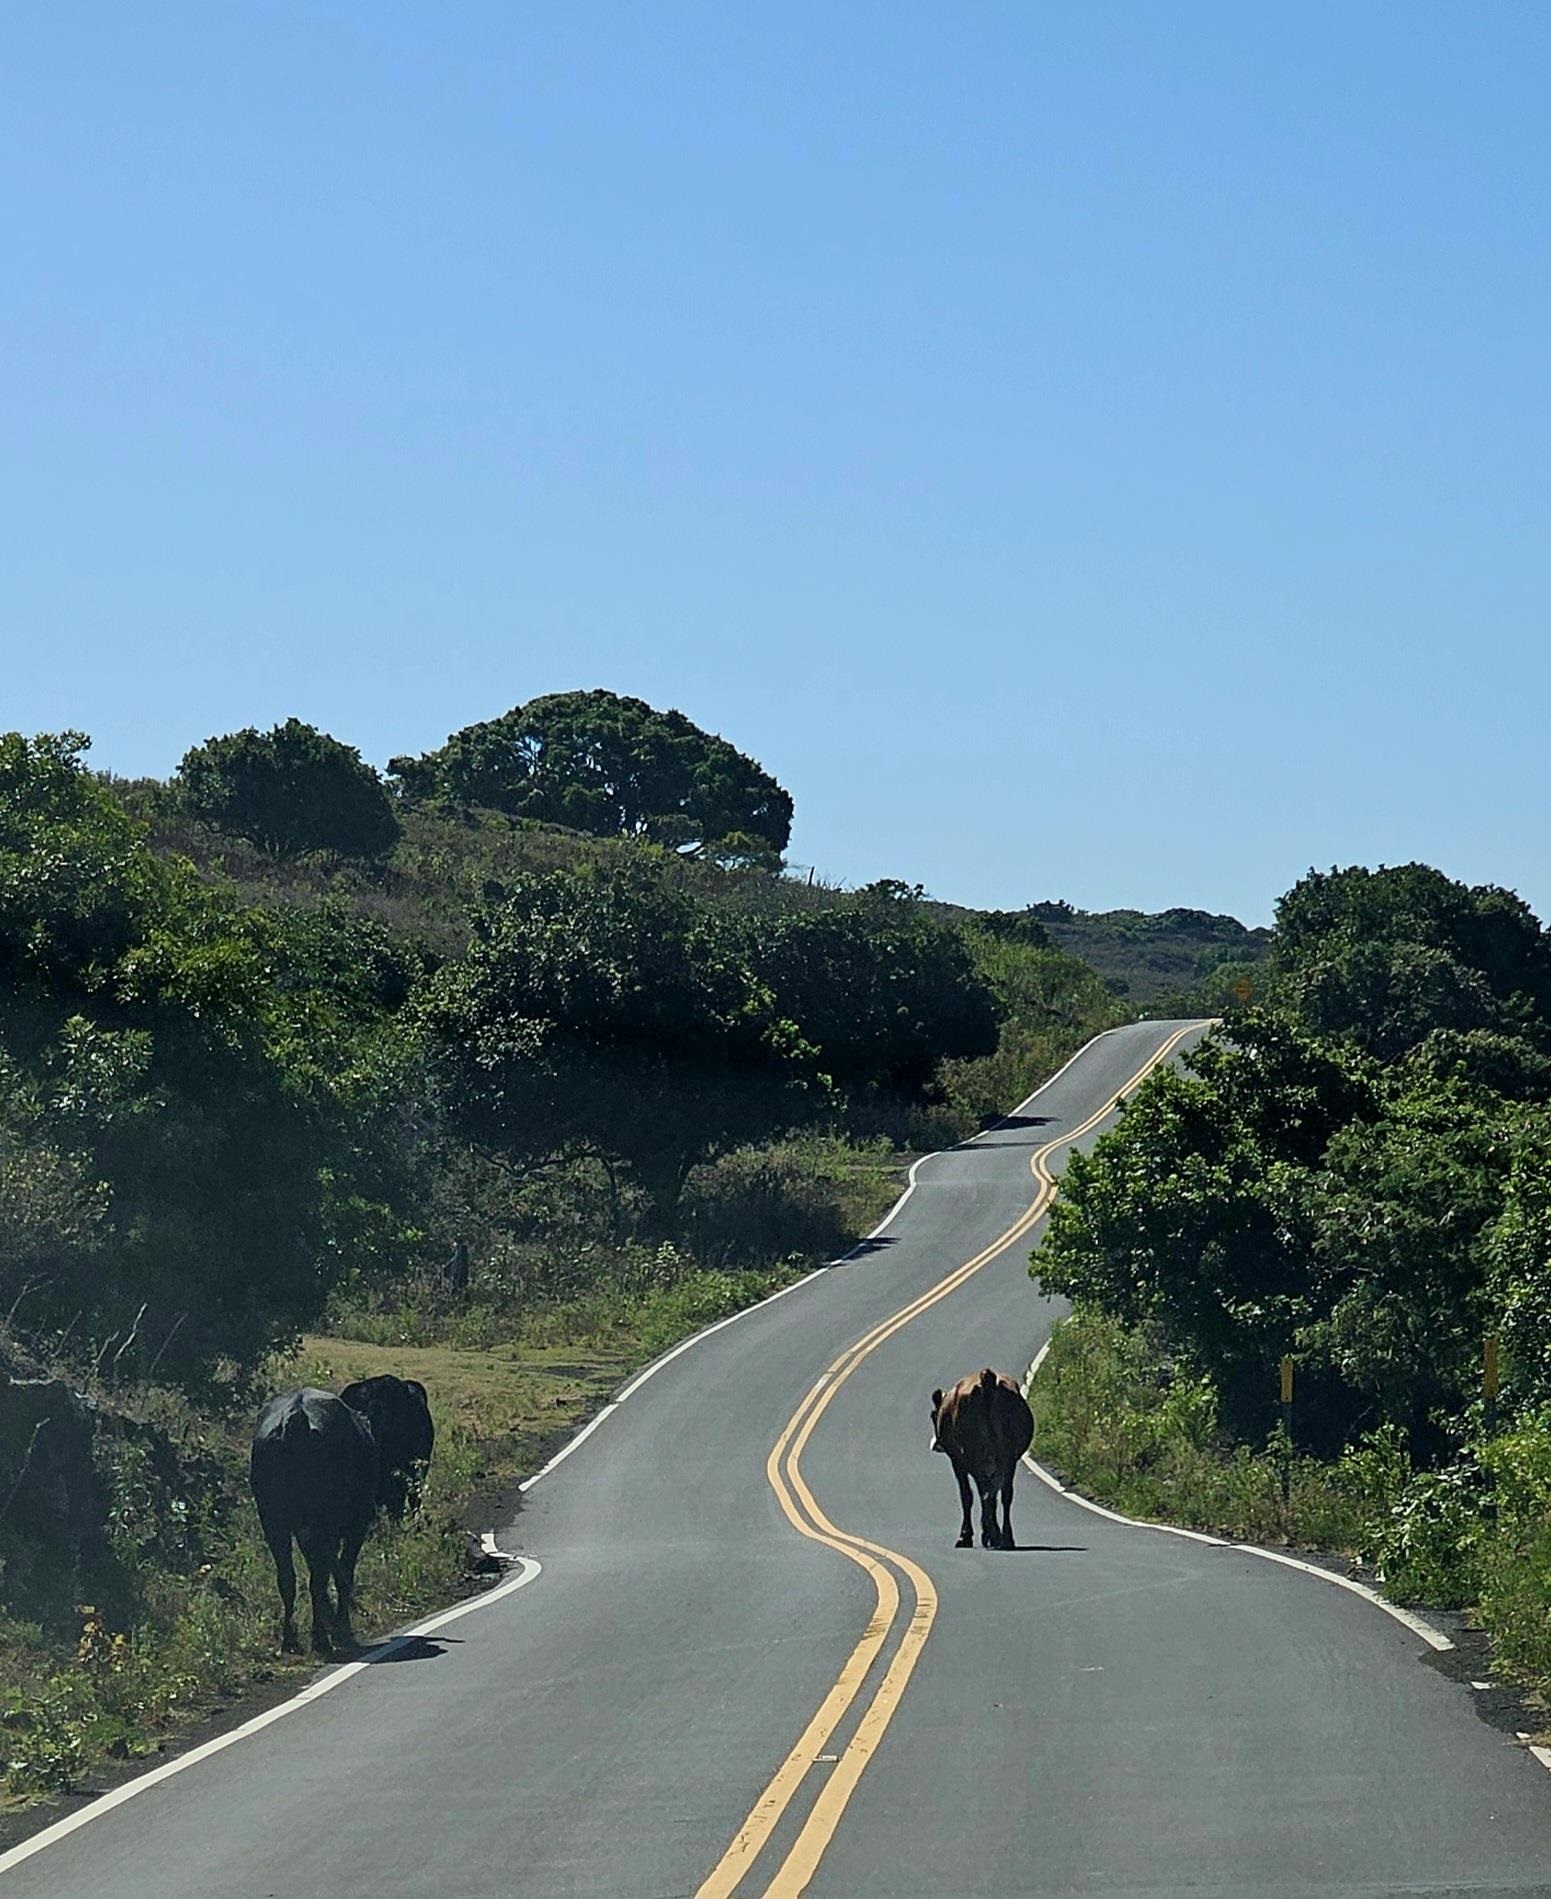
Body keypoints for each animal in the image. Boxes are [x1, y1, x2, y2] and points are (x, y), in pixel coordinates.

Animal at [252, 1390, 379, 1655]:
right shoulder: (355, 1526)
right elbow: (343, 1571)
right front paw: (341, 1626)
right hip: (322, 1523)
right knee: (318, 1580)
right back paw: (321, 1638)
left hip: (273, 1522)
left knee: (288, 1578)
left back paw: (291, 1640)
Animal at [926, 1374, 1032, 1549]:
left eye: (933, 1415)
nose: (936, 1445)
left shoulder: (957, 1462)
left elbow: (966, 1496)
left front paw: (965, 1536)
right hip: (1007, 1458)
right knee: (1003, 1494)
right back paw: (1005, 1538)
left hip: (975, 1458)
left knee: (985, 1495)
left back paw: (992, 1536)